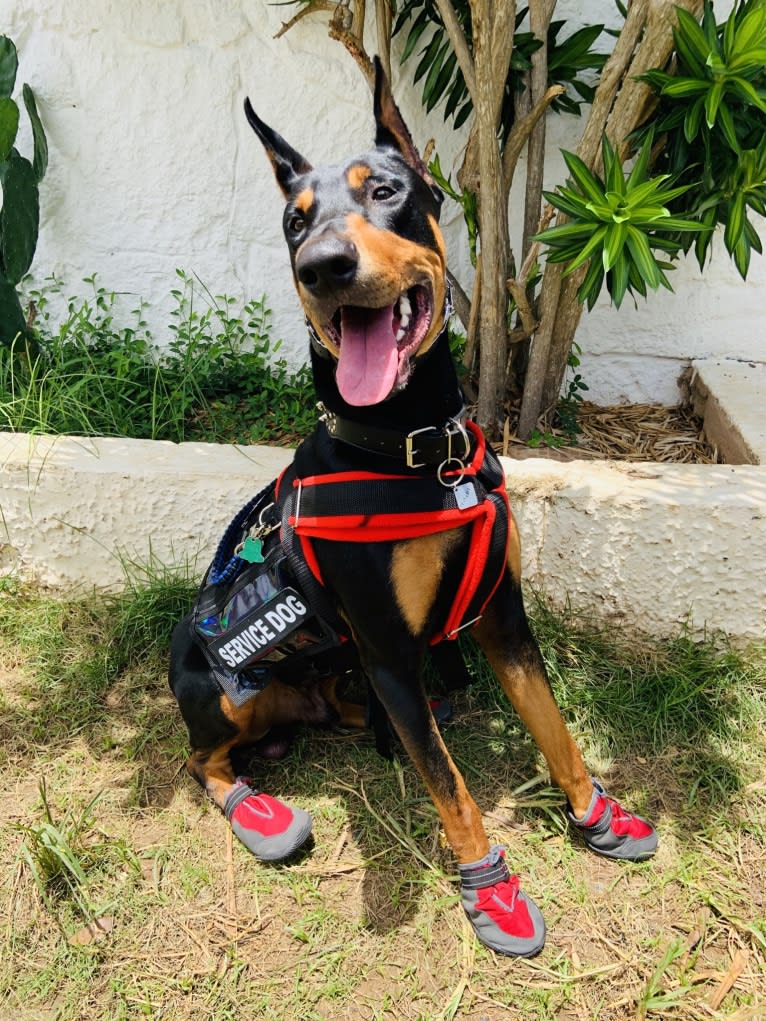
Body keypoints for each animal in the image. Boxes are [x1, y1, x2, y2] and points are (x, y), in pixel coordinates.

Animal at [169, 63, 661, 955]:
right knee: (204, 761)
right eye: (294, 221)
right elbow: (452, 787)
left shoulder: (502, 616)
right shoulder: (391, 651)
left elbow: (555, 727)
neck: (420, 449)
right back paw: (260, 812)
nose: (322, 264)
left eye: (386, 190)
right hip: (224, 690)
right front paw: (489, 888)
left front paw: (595, 814)